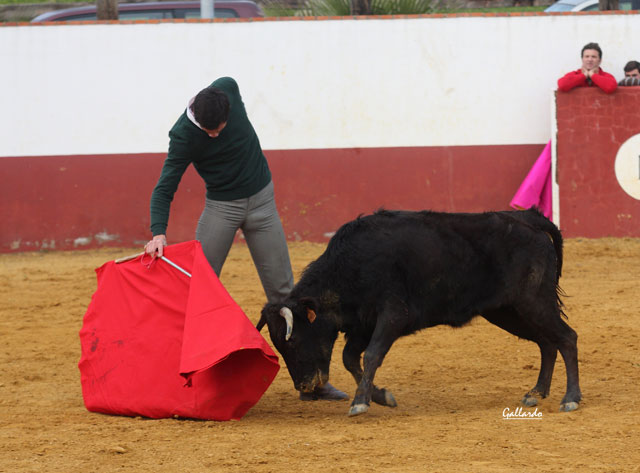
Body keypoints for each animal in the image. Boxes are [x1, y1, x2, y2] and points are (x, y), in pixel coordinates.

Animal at [258, 208, 584, 414]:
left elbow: (371, 354)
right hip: (508, 311)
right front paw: (381, 396)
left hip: (533, 302)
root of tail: (527, 218)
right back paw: (536, 392)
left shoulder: (392, 316)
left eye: (294, 340)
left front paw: (360, 402)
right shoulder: (363, 324)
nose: (306, 386)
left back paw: (570, 398)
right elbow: (350, 358)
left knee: (567, 338)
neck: (349, 267)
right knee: (546, 342)